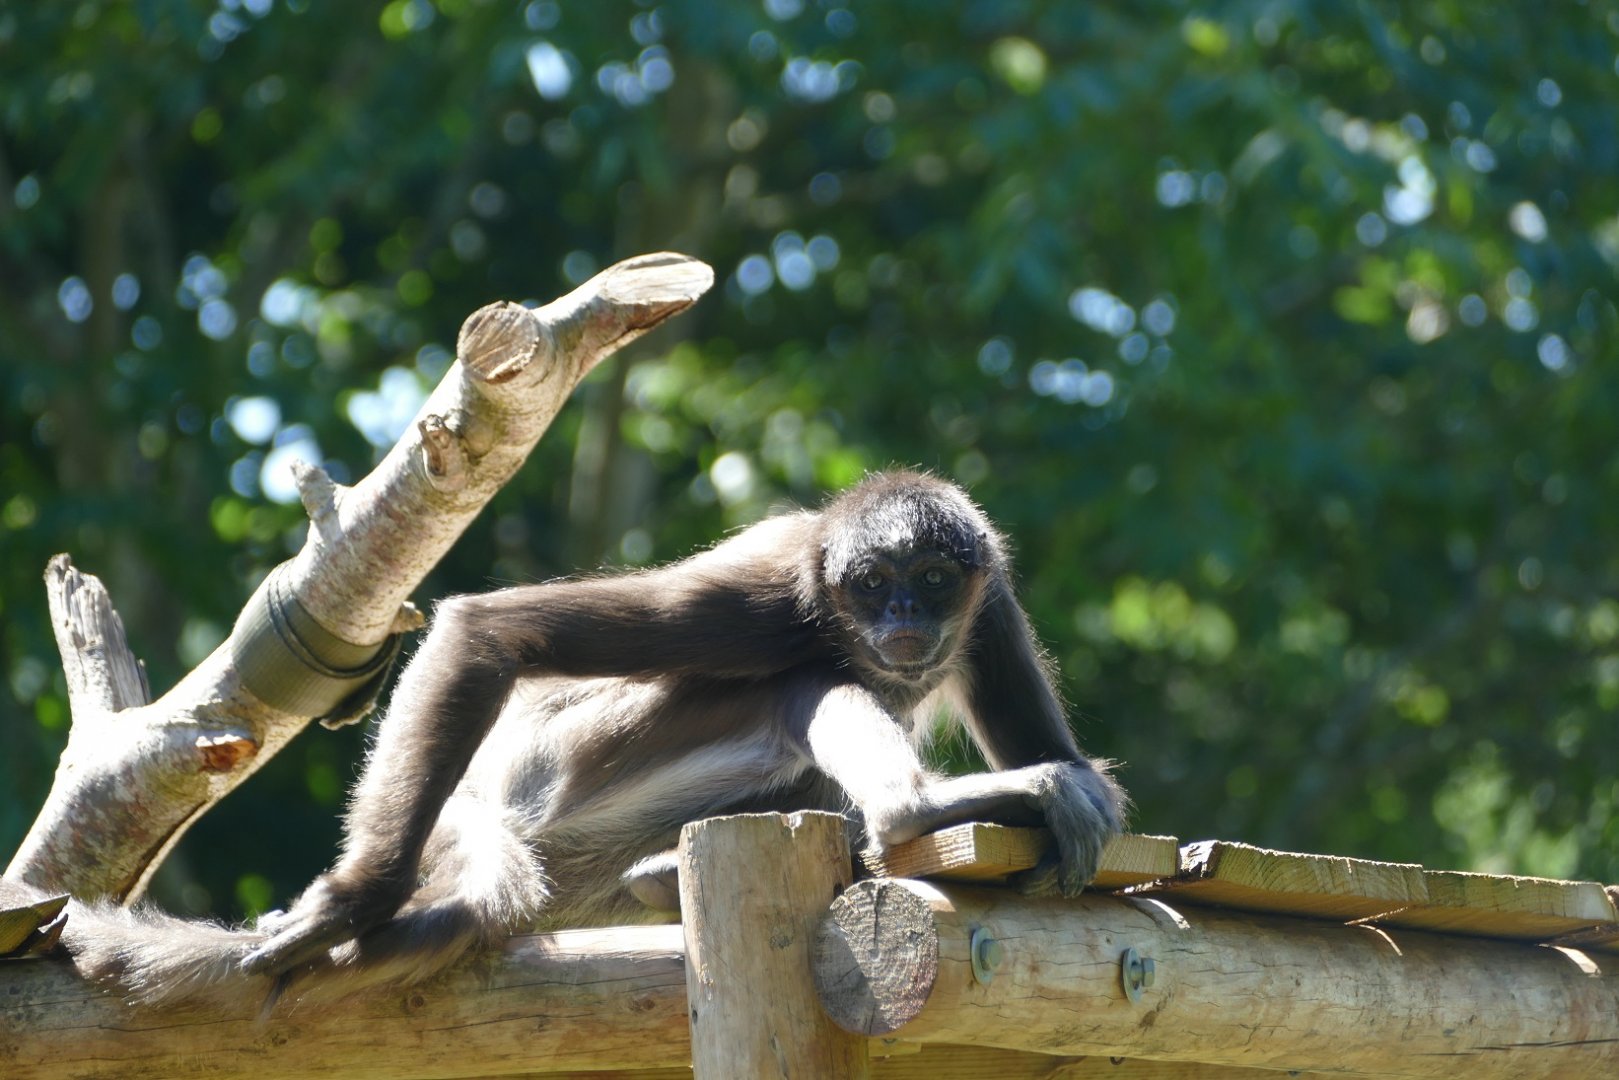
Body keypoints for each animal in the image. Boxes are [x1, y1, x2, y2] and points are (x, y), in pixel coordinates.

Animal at [62, 470, 1126, 1008]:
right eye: (870, 586)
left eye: (932, 582)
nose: (902, 617)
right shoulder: (763, 604)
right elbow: (484, 631)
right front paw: (349, 904)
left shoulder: (990, 606)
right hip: (567, 770)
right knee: (809, 685)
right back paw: (911, 808)